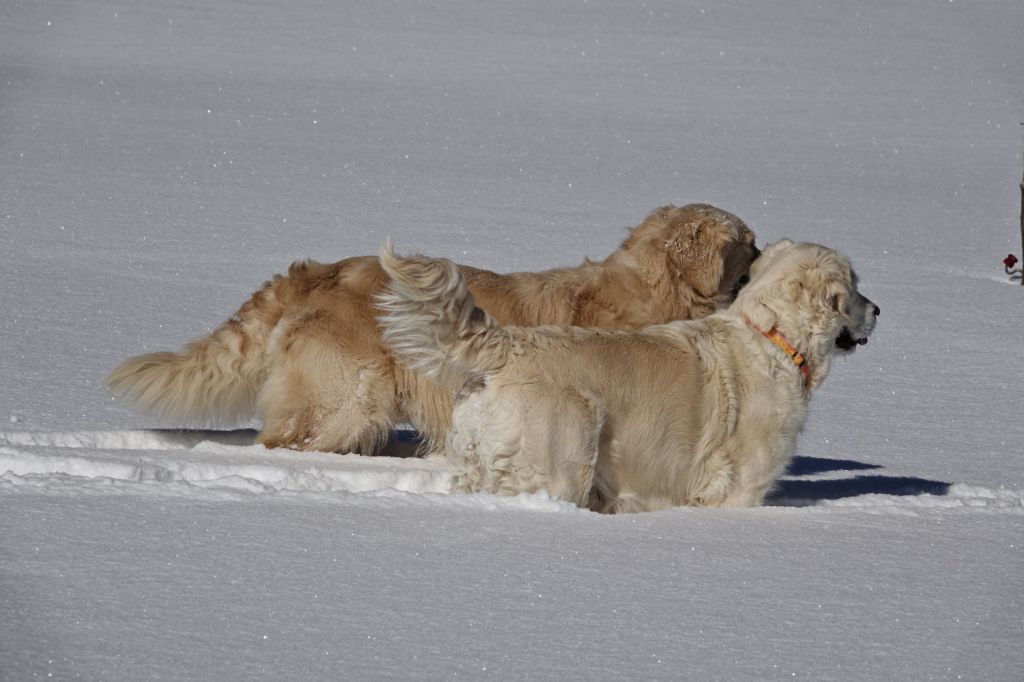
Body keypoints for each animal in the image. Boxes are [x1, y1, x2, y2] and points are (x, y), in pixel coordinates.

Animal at [380, 236, 876, 507]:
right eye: (854, 287)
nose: (877, 310)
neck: (772, 337)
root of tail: (512, 343)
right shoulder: (742, 488)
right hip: (565, 458)